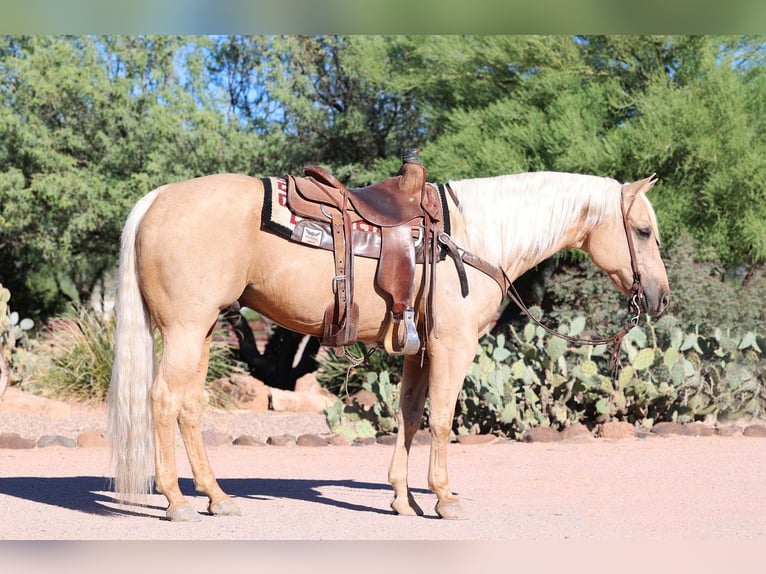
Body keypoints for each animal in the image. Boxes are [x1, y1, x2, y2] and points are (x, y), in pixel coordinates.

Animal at [107, 169, 670, 521]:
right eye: (643, 231)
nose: (660, 297)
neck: (476, 237)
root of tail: (157, 197)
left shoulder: (419, 349)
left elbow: (409, 416)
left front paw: (404, 500)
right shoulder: (452, 346)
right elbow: (441, 419)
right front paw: (443, 498)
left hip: (200, 332)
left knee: (189, 407)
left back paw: (216, 497)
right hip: (185, 329)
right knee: (162, 402)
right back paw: (177, 502)